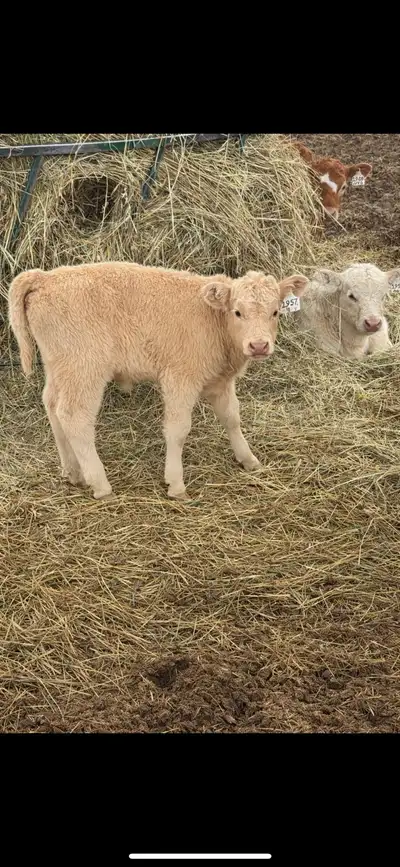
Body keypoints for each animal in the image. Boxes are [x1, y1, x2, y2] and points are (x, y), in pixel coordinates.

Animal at [8, 262, 308, 501]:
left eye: (275, 312)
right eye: (237, 312)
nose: (258, 346)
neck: (212, 321)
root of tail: (46, 278)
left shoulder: (221, 381)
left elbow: (231, 418)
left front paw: (249, 459)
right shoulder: (180, 378)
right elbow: (178, 429)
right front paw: (175, 484)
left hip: (60, 367)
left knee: (52, 406)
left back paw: (73, 472)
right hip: (84, 369)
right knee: (74, 417)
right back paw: (100, 484)